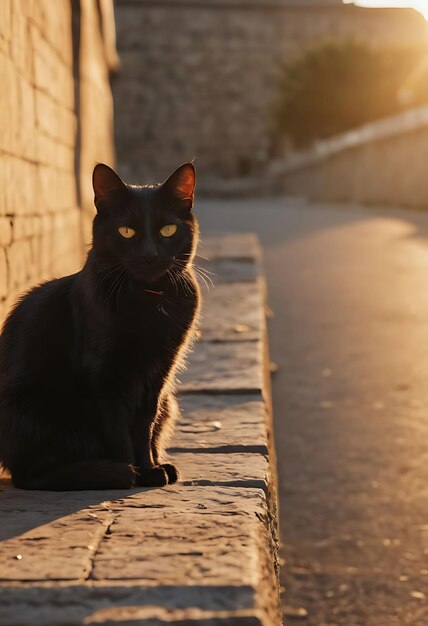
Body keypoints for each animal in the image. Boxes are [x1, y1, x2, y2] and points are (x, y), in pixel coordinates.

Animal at [0, 161, 201, 488]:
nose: (150, 254)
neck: (148, 300)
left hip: (169, 400)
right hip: (29, 402)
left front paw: (150, 468)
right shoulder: (103, 377)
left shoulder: (159, 375)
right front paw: (134, 472)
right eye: (126, 231)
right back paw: (103, 472)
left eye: (168, 230)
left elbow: (143, 426)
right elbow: (119, 433)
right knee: (30, 476)